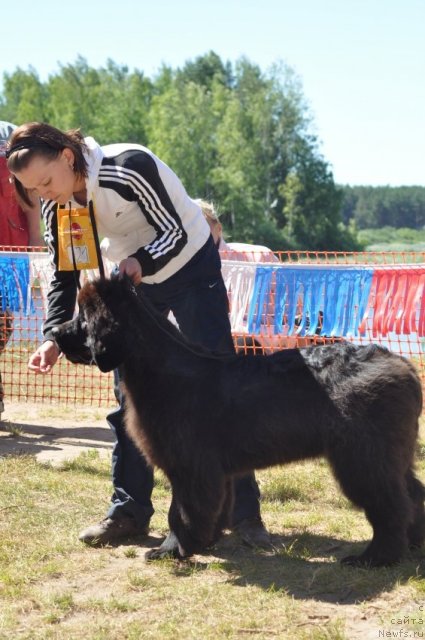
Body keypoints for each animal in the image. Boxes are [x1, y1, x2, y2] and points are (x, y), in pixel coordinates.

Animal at [53, 278, 424, 568]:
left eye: (83, 317)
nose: (54, 331)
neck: (161, 367)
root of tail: (401, 365)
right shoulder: (215, 471)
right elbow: (213, 508)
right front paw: (204, 541)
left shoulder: (189, 466)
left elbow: (179, 512)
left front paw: (171, 550)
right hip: (391, 455)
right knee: (413, 495)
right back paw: (413, 544)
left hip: (363, 459)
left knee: (391, 505)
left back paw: (376, 557)